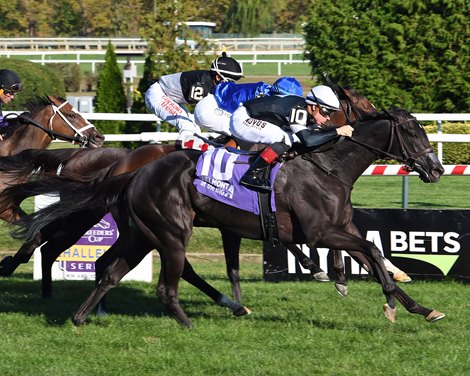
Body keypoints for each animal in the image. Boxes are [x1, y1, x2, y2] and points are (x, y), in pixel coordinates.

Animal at [13, 108, 444, 326]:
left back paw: (84, 317)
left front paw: (419, 307)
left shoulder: (340, 228)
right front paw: (387, 301)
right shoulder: (321, 233)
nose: (436, 169)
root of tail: (130, 170)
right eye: (412, 131)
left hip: (141, 233)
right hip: (168, 231)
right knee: (159, 278)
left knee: (109, 269)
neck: (327, 167)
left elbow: (374, 255)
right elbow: (371, 252)